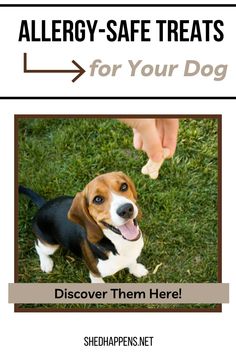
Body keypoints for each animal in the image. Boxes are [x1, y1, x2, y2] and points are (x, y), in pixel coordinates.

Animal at [18, 171, 148, 282]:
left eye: (124, 186)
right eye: (98, 199)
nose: (126, 209)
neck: (119, 243)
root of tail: (43, 205)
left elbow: (132, 262)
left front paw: (136, 269)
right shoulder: (95, 273)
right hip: (49, 245)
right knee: (38, 247)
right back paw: (46, 262)